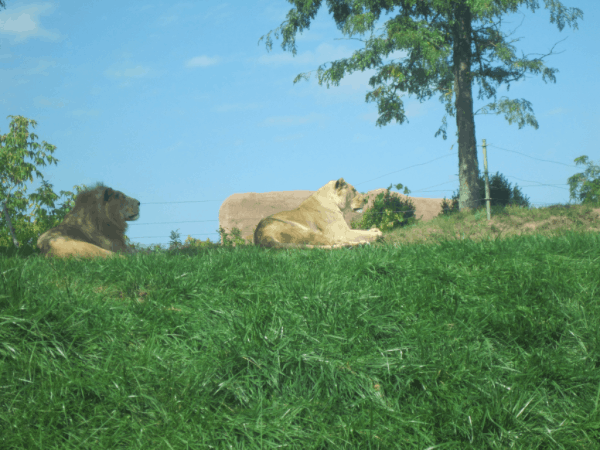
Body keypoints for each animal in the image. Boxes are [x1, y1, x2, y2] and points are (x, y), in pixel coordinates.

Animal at [254, 179, 384, 250]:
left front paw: (374, 229)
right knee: (334, 242)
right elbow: (362, 233)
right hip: (307, 231)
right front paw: (377, 234)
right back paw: (361, 244)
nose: (366, 199)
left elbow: (364, 230)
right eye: (354, 190)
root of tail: (261, 237)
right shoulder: (342, 232)